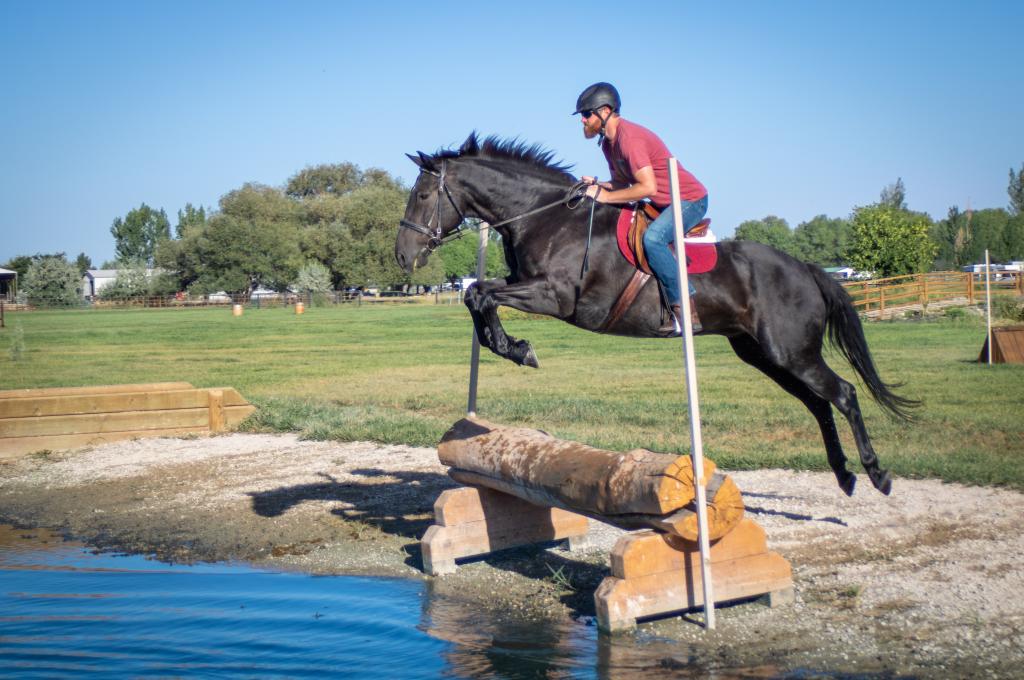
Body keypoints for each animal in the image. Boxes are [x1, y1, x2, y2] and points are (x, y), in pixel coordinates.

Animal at [395, 133, 917, 497]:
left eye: (421, 196)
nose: (403, 256)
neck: (546, 216)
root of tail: (806, 268)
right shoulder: (528, 287)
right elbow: (476, 295)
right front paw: (512, 348)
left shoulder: (556, 297)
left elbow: (480, 294)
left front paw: (520, 350)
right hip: (763, 355)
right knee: (818, 403)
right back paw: (844, 475)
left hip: (790, 352)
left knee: (843, 394)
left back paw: (876, 473)